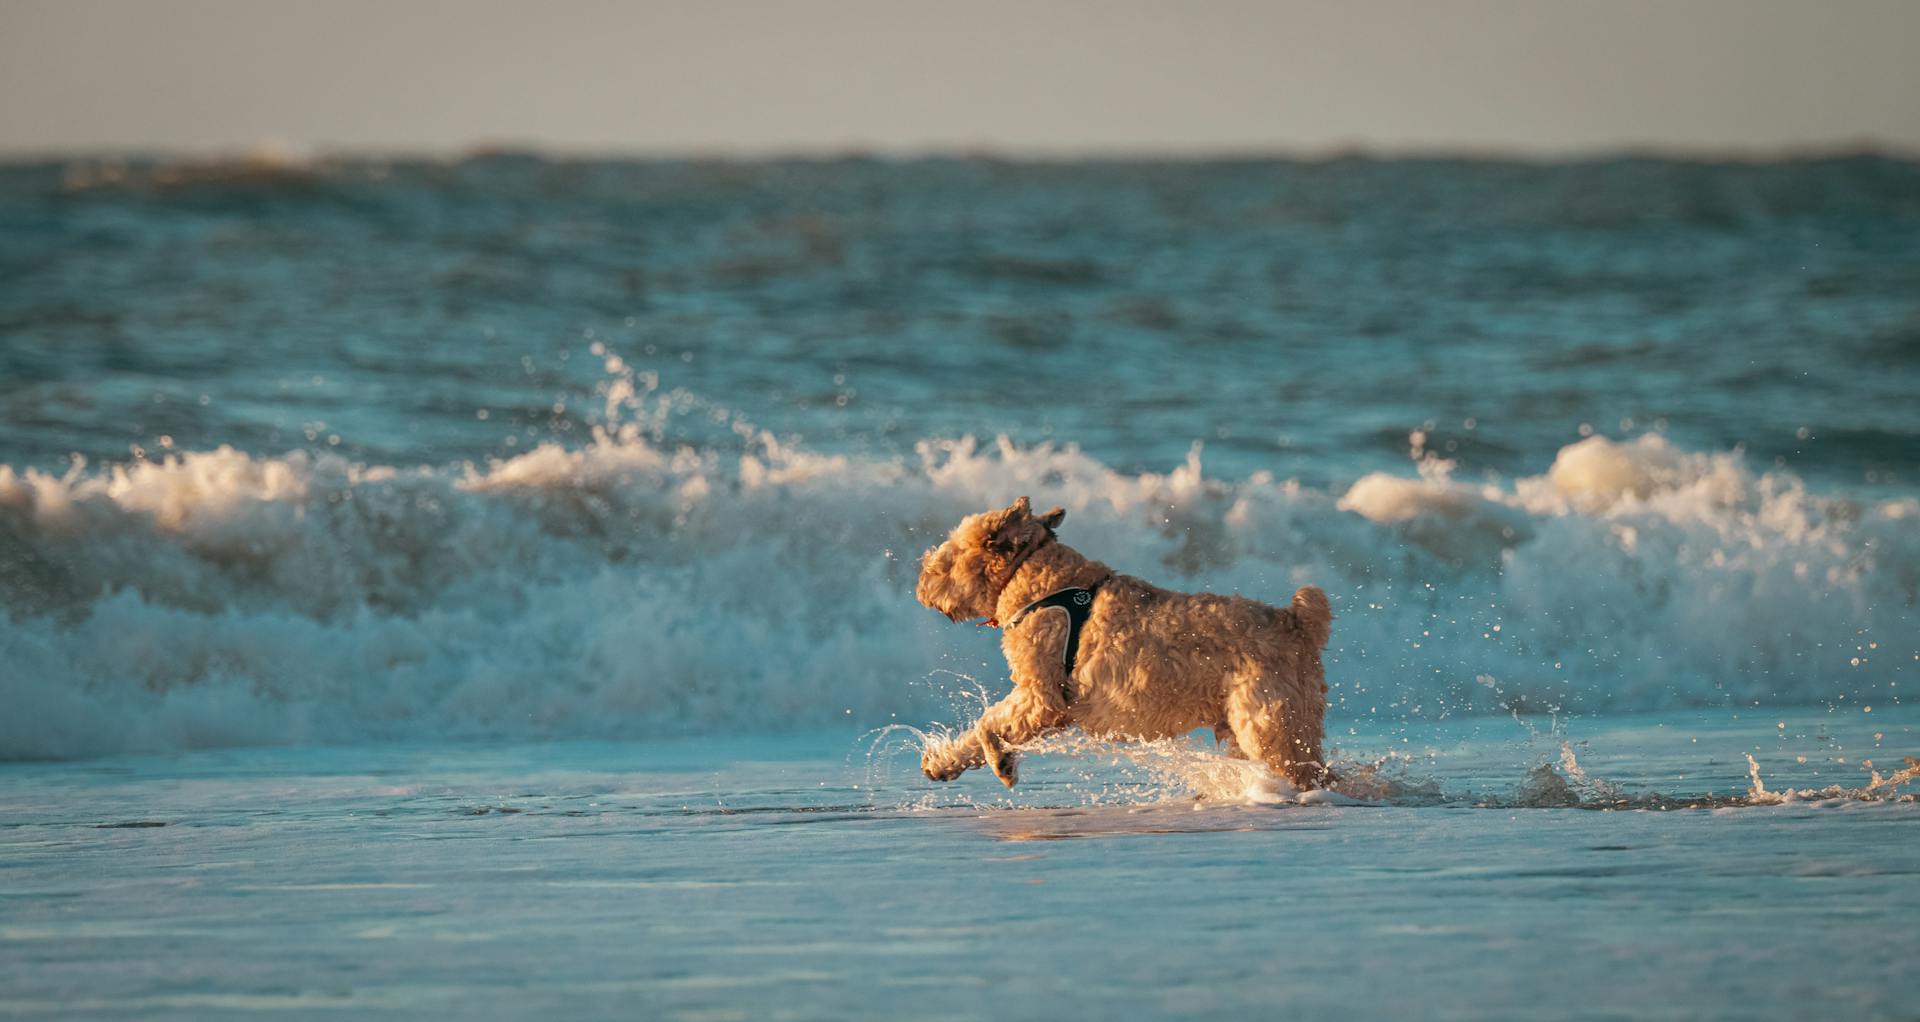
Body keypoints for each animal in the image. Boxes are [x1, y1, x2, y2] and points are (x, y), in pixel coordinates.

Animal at [913, 495, 1336, 791]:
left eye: (947, 558)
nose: (920, 578)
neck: (1032, 575)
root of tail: (1296, 620)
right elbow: (978, 731)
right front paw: (944, 763)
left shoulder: (1041, 698)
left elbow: (986, 724)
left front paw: (1002, 763)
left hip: (1268, 724)